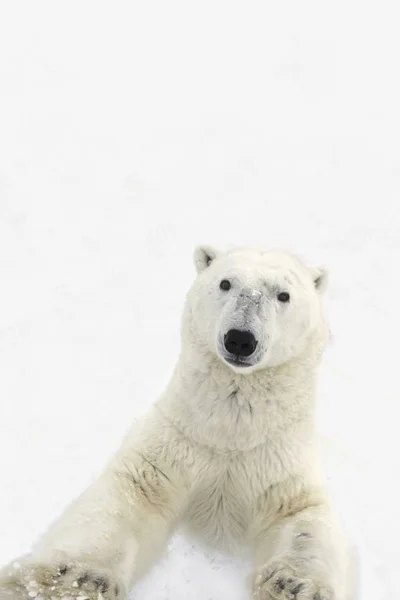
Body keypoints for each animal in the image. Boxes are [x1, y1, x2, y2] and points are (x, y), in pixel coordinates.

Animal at [0, 246, 350, 596]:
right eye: (225, 282)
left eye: (283, 295)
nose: (240, 339)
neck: (228, 434)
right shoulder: (173, 445)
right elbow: (128, 500)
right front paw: (70, 582)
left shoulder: (277, 462)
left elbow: (301, 516)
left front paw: (295, 586)